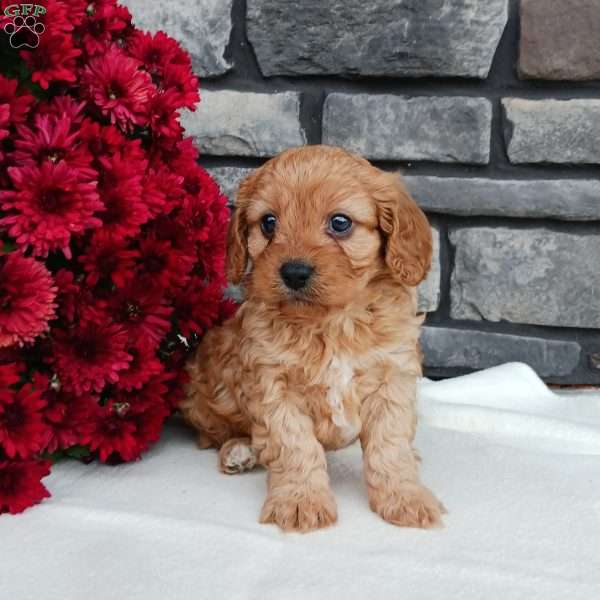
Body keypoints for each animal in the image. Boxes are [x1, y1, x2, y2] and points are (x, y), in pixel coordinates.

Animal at [183, 145, 446, 528]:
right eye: (268, 223)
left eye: (340, 223)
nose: (294, 272)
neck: (331, 322)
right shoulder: (273, 385)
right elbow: (294, 446)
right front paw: (299, 502)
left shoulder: (392, 378)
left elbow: (389, 446)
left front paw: (405, 496)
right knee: (217, 434)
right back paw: (238, 450)